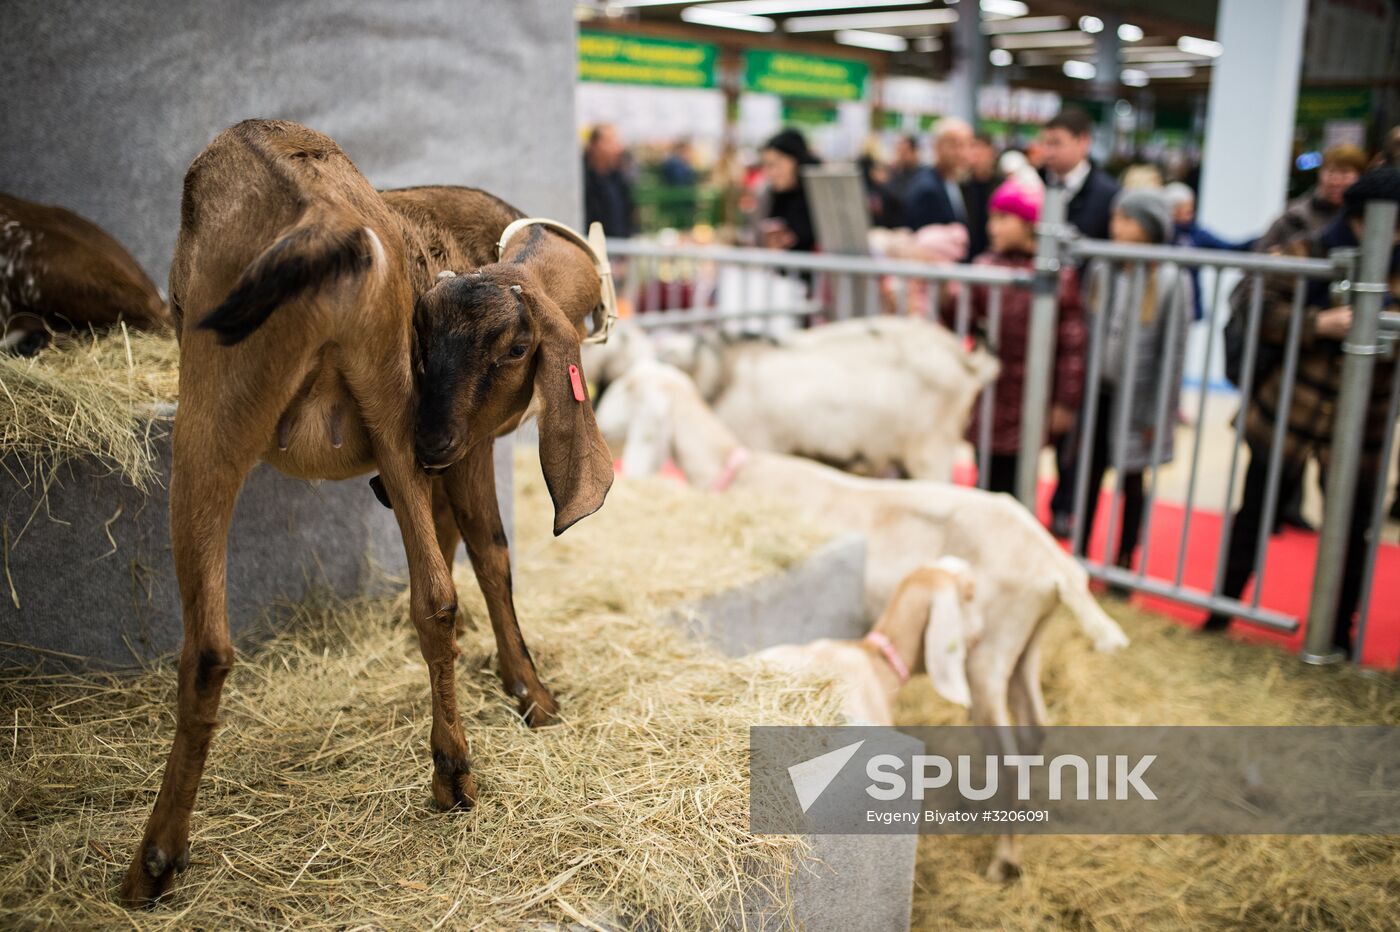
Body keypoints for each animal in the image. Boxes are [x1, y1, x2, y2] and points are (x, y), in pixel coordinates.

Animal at [123, 119, 616, 901]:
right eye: (430, 337)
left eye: (514, 345)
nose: (436, 439)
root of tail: (322, 211)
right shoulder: (453, 442)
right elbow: (477, 549)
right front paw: (528, 691)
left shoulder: (460, 445)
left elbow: (483, 548)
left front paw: (525, 688)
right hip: (390, 412)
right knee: (433, 595)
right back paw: (454, 773)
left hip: (226, 409)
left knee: (208, 647)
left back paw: (154, 861)